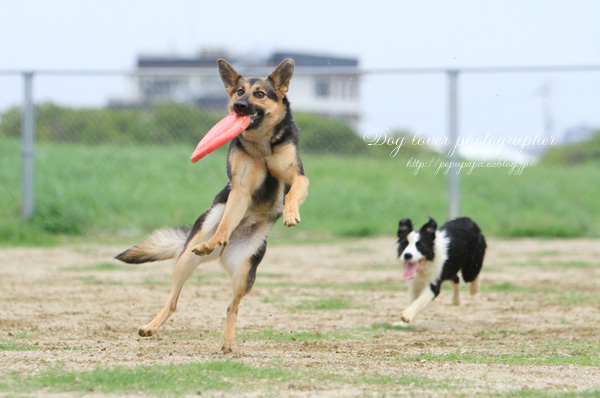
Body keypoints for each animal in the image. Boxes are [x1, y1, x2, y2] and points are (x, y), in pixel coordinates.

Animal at [116, 57, 310, 352]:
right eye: (239, 91)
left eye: (260, 94)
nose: (239, 107)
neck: (261, 146)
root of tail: (225, 253)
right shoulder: (240, 190)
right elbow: (228, 220)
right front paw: (215, 239)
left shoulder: (297, 176)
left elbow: (292, 192)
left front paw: (290, 214)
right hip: (188, 256)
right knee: (173, 301)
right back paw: (152, 325)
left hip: (245, 274)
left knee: (233, 306)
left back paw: (228, 341)